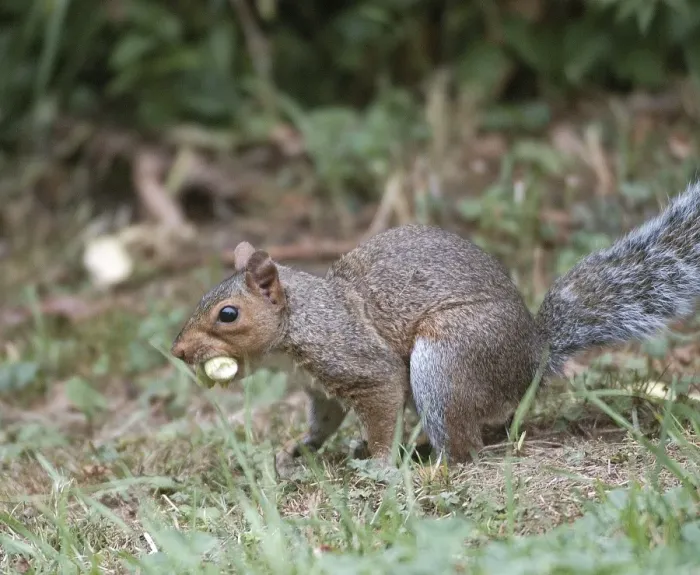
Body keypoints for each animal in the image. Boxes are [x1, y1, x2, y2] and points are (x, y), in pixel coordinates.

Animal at [171, 181, 700, 472]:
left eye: (228, 314)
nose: (177, 351)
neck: (300, 320)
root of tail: (534, 356)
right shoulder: (320, 388)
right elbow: (324, 421)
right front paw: (298, 449)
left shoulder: (357, 360)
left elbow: (381, 402)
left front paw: (379, 462)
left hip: (447, 360)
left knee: (464, 447)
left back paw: (428, 465)